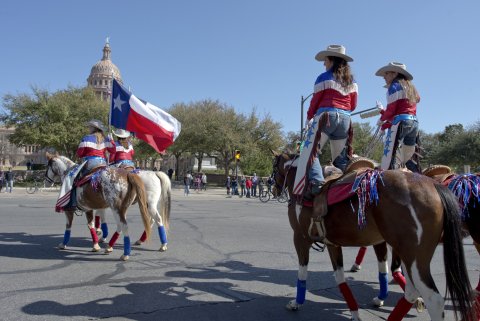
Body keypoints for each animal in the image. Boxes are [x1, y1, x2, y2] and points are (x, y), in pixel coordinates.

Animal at [43, 153, 171, 260]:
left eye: (48, 166)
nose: (46, 181)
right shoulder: (92, 207)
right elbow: (94, 222)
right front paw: (98, 240)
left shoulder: (69, 209)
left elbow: (69, 226)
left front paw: (63, 244)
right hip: (134, 207)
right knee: (145, 222)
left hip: (130, 207)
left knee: (145, 222)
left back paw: (128, 252)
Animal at [270, 151, 476, 320]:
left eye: (274, 166)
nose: (273, 188)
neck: (303, 188)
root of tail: (434, 185)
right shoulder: (333, 244)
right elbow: (341, 278)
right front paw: (355, 312)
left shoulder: (300, 238)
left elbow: (302, 272)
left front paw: (296, 303)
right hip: (408, 256)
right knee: (411, 291)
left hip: (415, 259)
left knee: (433, 299)